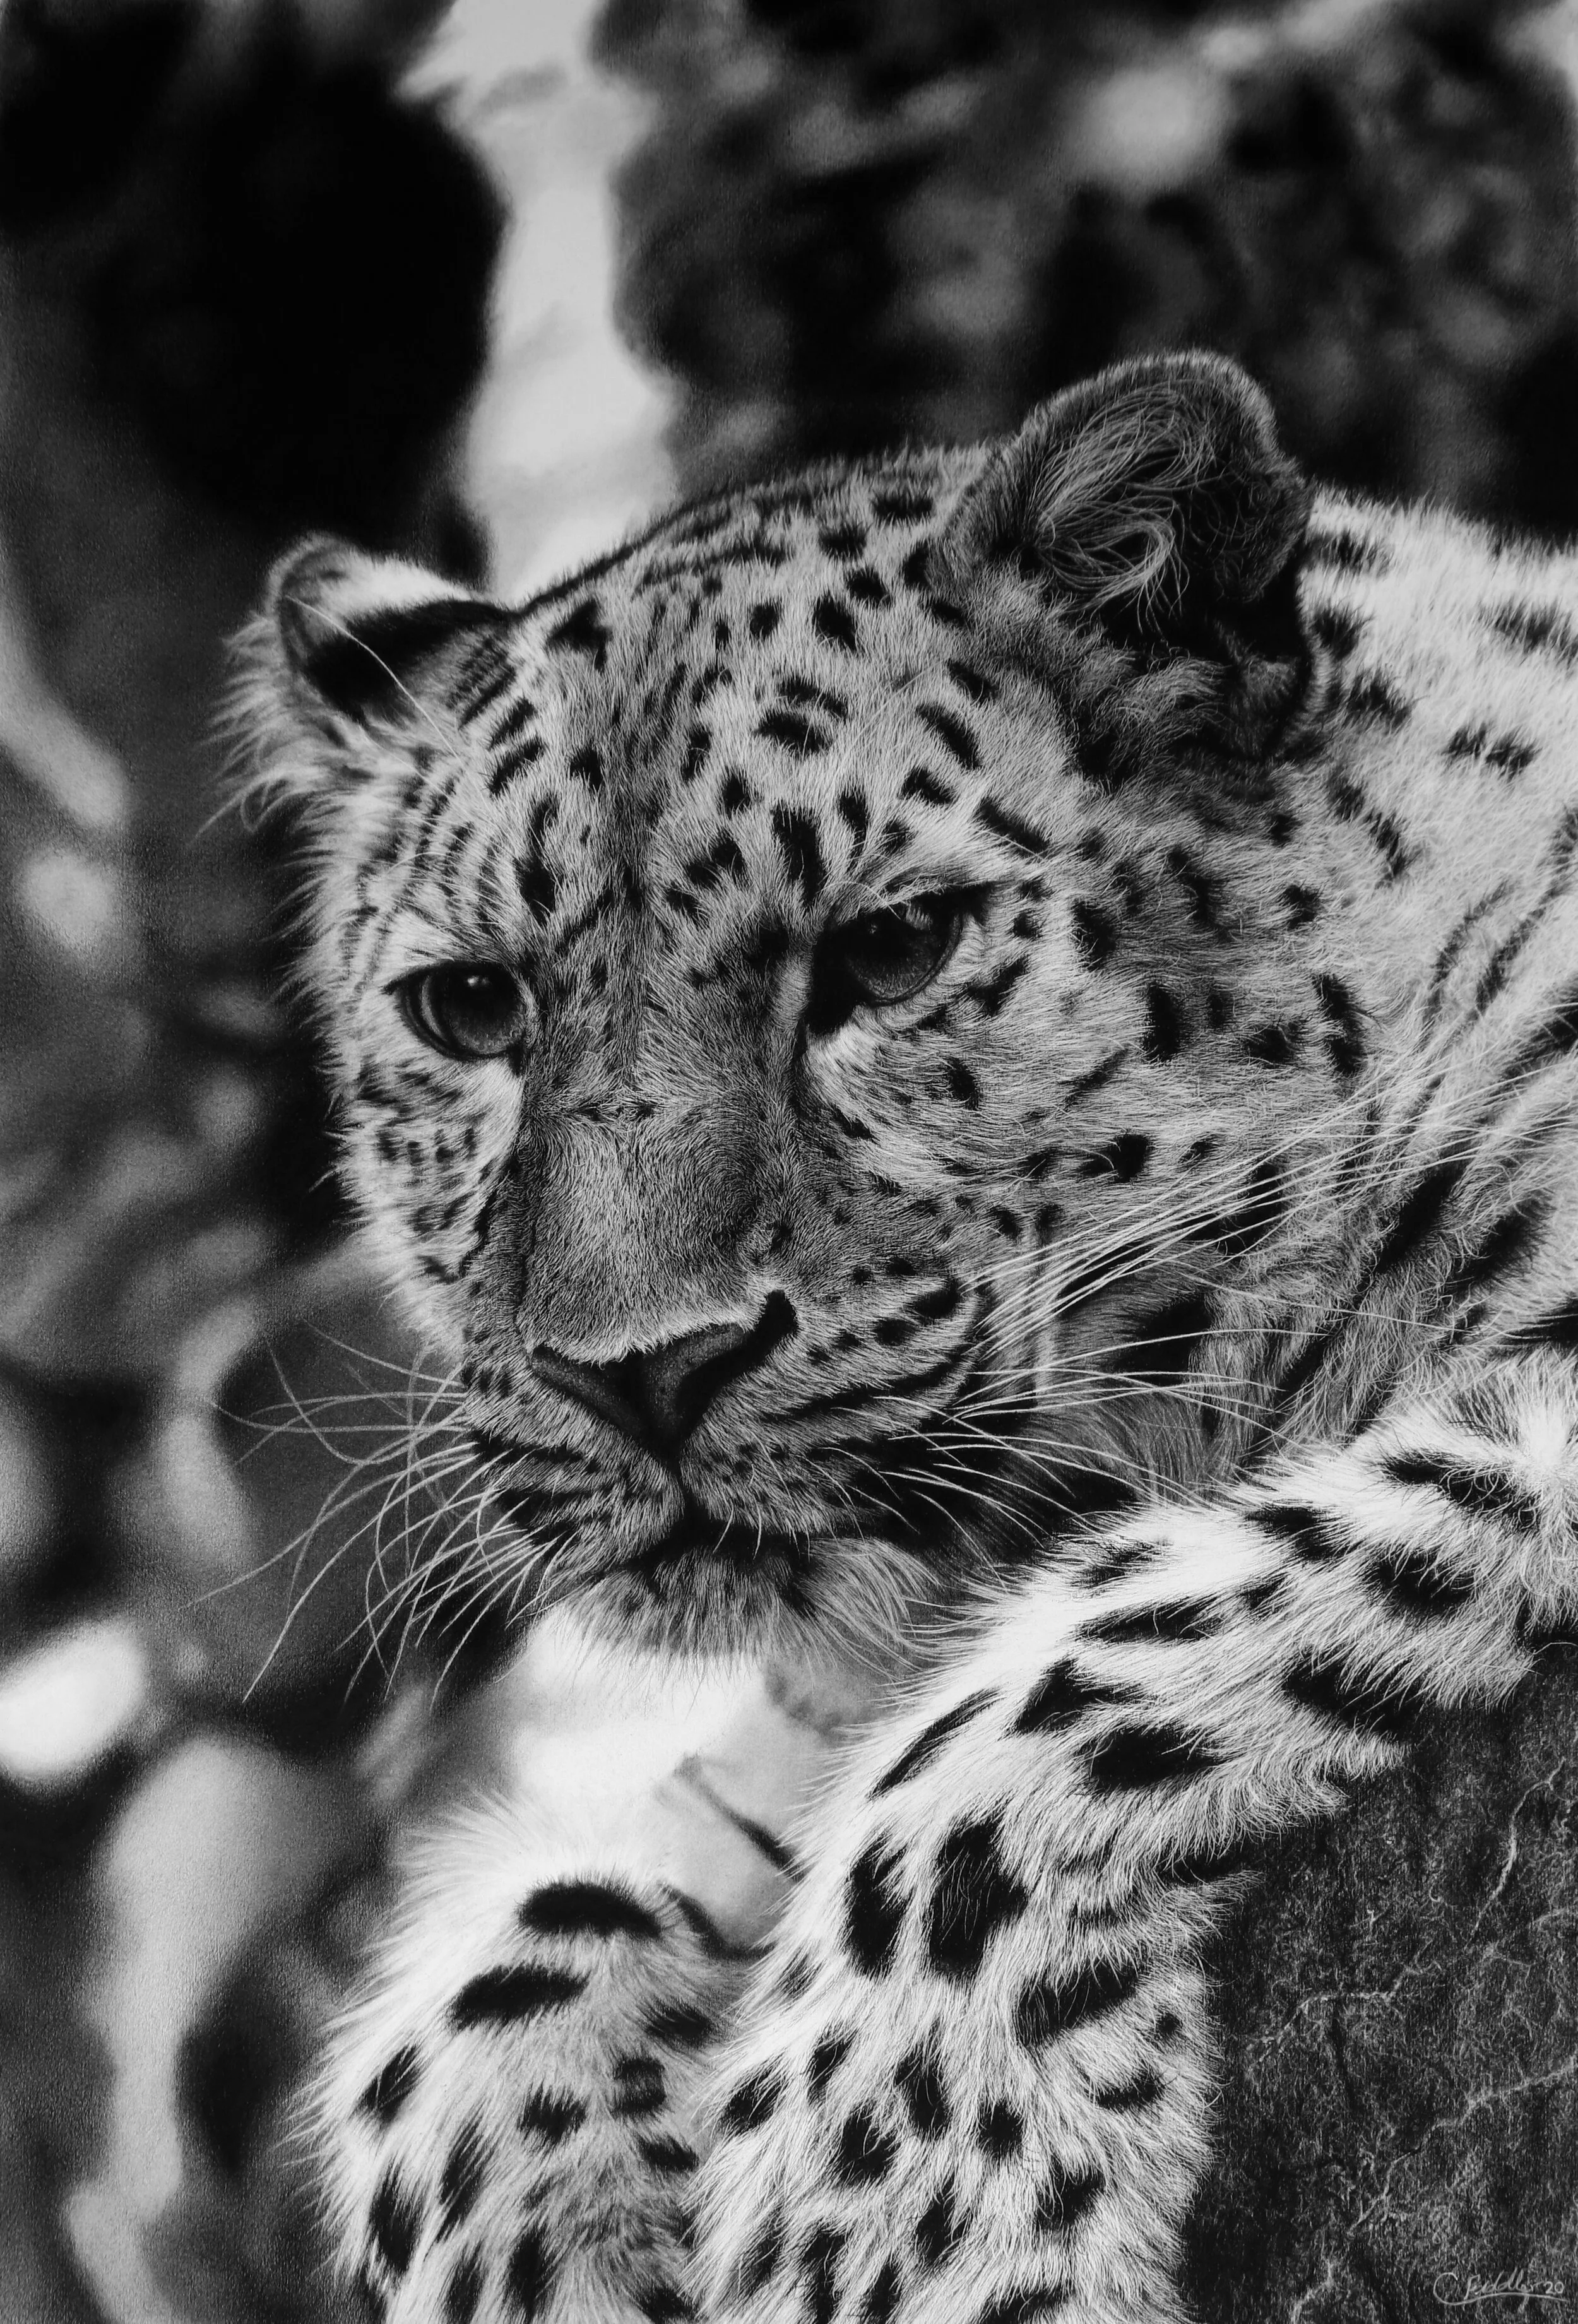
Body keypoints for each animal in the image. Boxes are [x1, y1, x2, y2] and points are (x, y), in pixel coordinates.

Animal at [234, 349, 1578, 2324]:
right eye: (469, 1008)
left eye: (893, 951)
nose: (639, 1372)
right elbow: (505, 1952)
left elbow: (1089, 1658)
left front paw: (886, 2208)